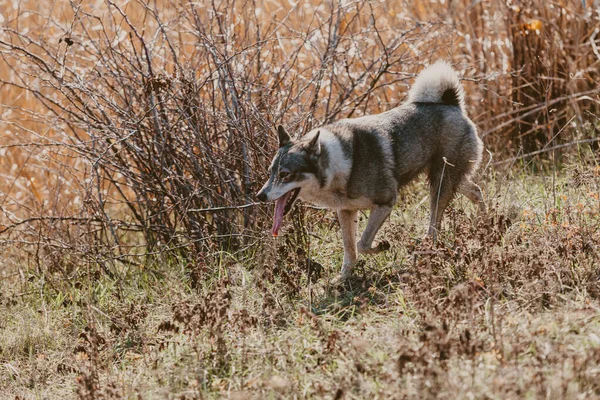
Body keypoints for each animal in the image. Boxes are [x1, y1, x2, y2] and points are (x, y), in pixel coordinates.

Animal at [255, 61, 486, 282]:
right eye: (270, 172)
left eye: (285, 174)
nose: (260, 196)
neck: (340, 163)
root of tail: (451, 104)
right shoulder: (346, 211)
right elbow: (349, 249)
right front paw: (343, 279)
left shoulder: (385, 203)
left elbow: (362, 243)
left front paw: (382, 246)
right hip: (450, 178)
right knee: (476, 191)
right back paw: (485, 223)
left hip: (440, 184)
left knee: (435, 223)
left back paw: (429, 249)